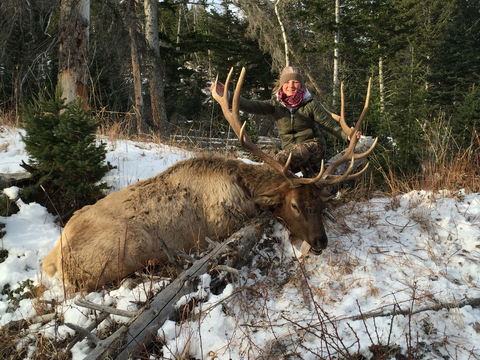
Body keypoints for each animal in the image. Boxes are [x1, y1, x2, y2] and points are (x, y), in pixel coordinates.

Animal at [41, 68, 376, 292]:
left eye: (320, 204)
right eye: (294, 204)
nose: (321, 241)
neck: (246, 189)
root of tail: (54, 259)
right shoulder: (223, 226)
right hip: (124, 251)